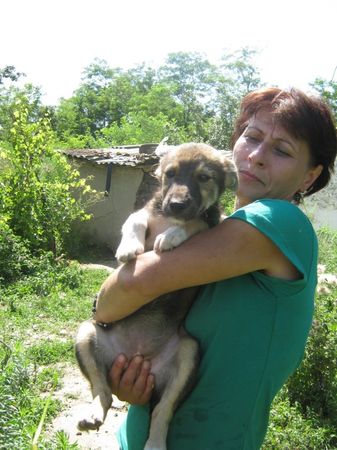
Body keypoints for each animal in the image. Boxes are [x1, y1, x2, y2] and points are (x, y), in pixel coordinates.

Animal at [75, 142, 236, 450]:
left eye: (204, 177)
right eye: (170, 174)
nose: (176, 205)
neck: (169, 217)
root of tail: (137, 356)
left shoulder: (212, 224)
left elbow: (196, 224)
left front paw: (172, 236)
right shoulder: (147, 210)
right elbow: (135, 218)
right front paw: (129, 247)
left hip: (188, 353)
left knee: (164, 409)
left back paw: (156, 442)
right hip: (86, 332)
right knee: (102, 388)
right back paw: (93, 413)